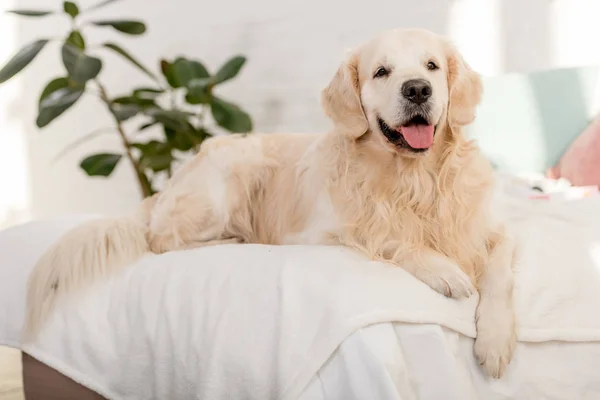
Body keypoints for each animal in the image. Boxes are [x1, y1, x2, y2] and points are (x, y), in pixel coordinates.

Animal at [24, 28, 516, 378]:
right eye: (381, 72)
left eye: (431, 66)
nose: (417, 90)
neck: (414, 179)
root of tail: (169, 185)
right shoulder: (323, 233)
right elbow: (388, 239)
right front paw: (444, 270)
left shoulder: (494, 230)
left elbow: (500, 273)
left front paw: (494, 341)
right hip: (232, 176)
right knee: (162, 240)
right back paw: (231, 240)